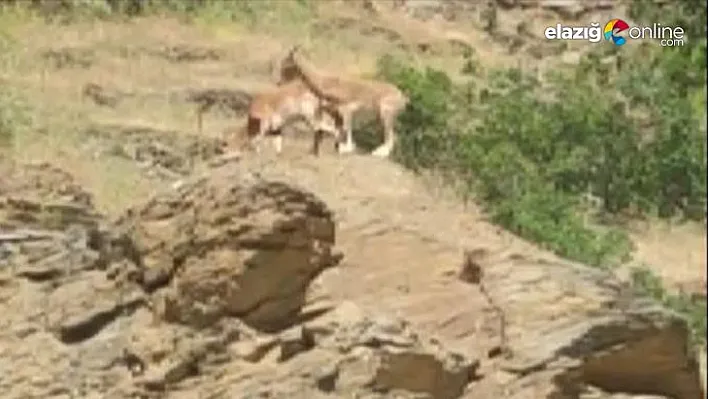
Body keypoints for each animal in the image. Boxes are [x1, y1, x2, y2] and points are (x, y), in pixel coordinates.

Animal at [276, 43, 410, 156]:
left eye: (286, 64)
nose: (279, 83)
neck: (325, 83)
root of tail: (403, 97)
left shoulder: (347, 111)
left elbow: (346, 129)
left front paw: (346, 149)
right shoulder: (333, 113)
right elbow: (329, 129)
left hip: (385, 115)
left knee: (391, 136)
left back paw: (379, 153)